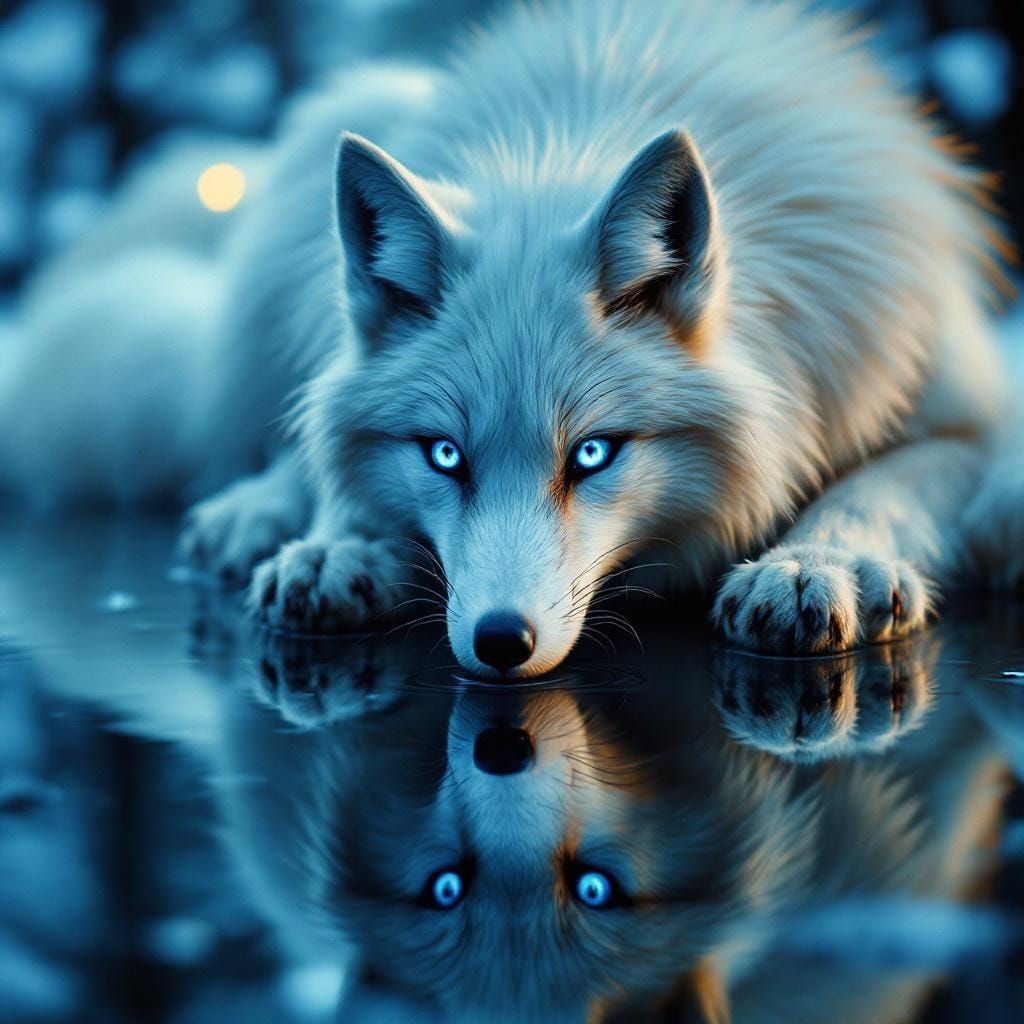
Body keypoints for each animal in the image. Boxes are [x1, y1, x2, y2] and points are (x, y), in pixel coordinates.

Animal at [1, 0, 1022, 677]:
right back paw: (264, 515)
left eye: (595, 455)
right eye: (443, 454)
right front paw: (345, 542)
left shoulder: (963, 408)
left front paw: (820, 563)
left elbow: (888, 483)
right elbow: (341, 471)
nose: (500, 642)